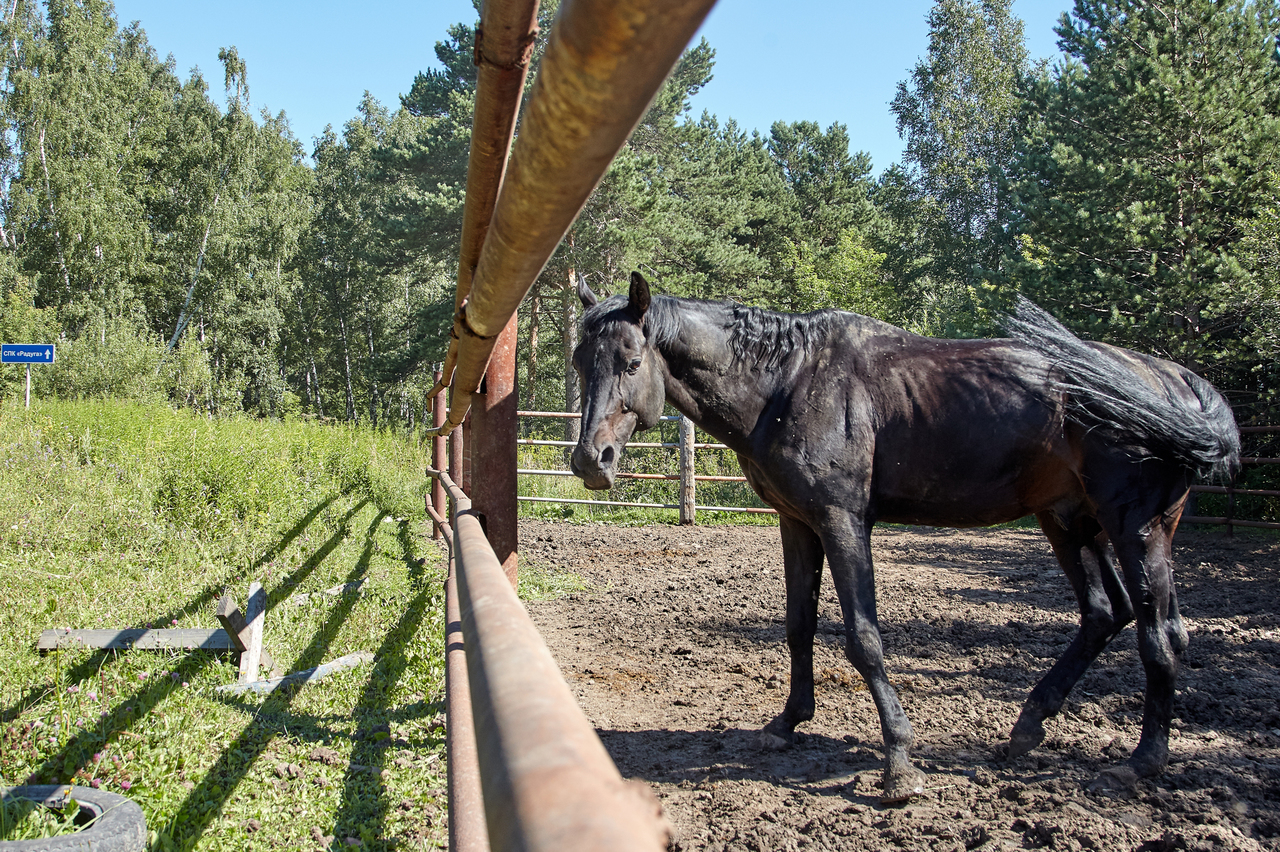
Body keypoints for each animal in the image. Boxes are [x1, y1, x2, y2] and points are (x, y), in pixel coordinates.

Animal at [570, 272, 1239, 803]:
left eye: (631, 362)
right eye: (580, 362)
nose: (589, 461)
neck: (787, 381)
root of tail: (1173, 378)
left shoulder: (843, 520)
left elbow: (863, 639)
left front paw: (899, 763)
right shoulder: (798, 522)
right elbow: (798, 626)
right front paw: (789, 722)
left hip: (1135, 530)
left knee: (1158, 637)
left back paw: (1143, 761)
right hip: (1071, 523)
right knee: (1107, 613)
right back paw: (1027, 727)